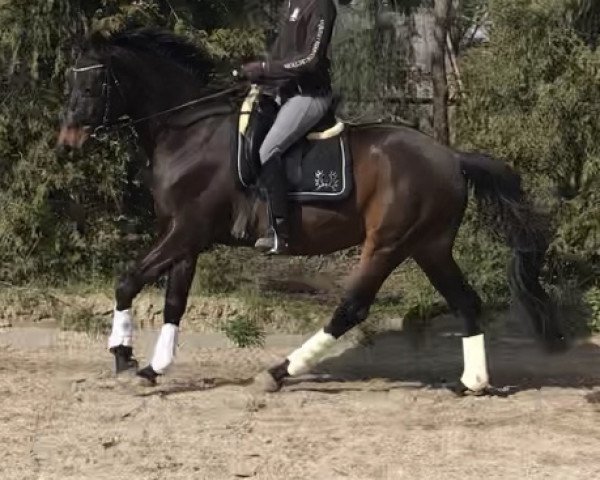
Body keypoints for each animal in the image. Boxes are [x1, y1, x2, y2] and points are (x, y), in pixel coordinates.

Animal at [57, 30, 568, 394]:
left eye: (92, 82)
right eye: (72, 80)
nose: (67, 142)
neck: (187, 132)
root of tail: (451, 157)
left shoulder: (187, 230)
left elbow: (128, 281)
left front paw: (122, 356)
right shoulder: (185, 235)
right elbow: (174, 301)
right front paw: (152, 368)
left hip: (388, 243)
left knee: (351, 308)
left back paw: (278, 372)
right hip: (430, 245)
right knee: (466, 302)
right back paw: (471, 383)